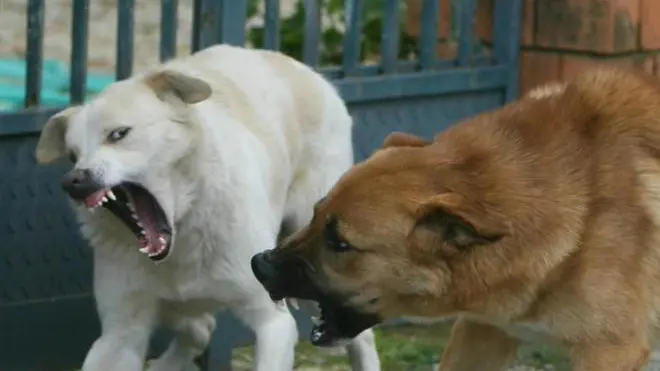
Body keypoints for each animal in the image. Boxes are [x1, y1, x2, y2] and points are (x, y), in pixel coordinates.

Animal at [34, 45, 382, 371]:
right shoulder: (120, 334)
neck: (184, 230)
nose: (73, 181)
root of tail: (303, 69)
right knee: (198, 328)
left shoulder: (273, 321)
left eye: (118, 134)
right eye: (73, 155)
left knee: (362, 338)